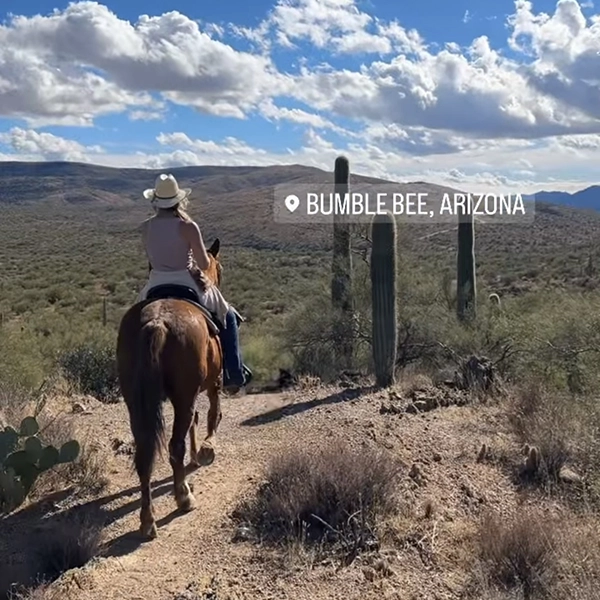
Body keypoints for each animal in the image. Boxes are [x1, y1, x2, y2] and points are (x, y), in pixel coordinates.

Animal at [115, 238, 223, 540]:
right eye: (220, 269)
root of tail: (156, 322)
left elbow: (196, 421)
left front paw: (198, 456)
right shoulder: (213, 384)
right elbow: (212, 415)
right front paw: (206, 450)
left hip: (135, 401)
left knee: (144, 453)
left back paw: (147, 521)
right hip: (183, 395)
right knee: (175, 445)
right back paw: (184, 498)